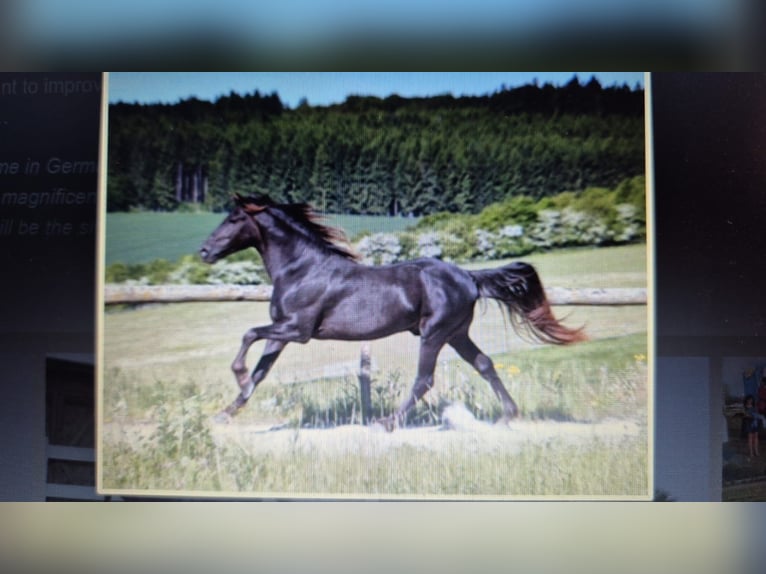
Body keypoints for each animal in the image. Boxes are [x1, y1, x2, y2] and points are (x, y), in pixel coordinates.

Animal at [200, 194, 585, 430]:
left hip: (434, 334)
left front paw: (238, 376)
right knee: (485, 364)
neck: (300, 269)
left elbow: (248, 334)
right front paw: (225, 413)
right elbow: (262, 370)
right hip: (457, 333)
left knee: (424, 379)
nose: (204, 251)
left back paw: (386, 423)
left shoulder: (298, 330)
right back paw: (508, 416)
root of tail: (468, 277)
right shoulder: (282, 331)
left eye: (234, 219)